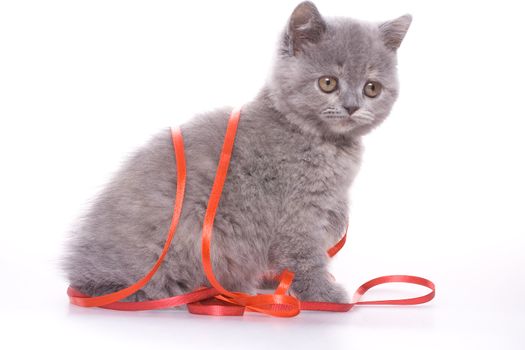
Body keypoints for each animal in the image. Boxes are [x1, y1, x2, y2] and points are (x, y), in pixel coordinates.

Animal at [62, 1, 414, 304]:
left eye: (372, 88)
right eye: (328, 83)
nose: (352, 107)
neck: (324, 142)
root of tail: (79, 269)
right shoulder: (297, 213)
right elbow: (305, 257)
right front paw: (324, 295)